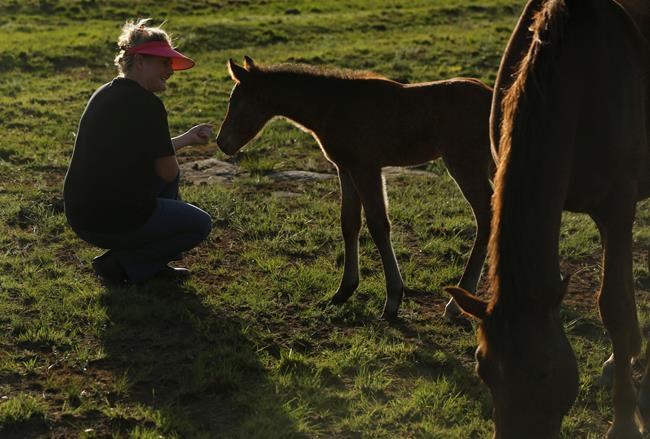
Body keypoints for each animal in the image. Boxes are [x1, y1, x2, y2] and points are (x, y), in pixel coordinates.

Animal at [216, 57, 494, 320]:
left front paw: (393, 299)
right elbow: (349, 223)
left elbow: (378, 225)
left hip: (464, 164)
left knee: (486, 217)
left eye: (236, 102)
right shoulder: (346, 169)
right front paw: (344, 290)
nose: (222, 143)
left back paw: (455, 304)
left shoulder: (365, 168)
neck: (334, 107)